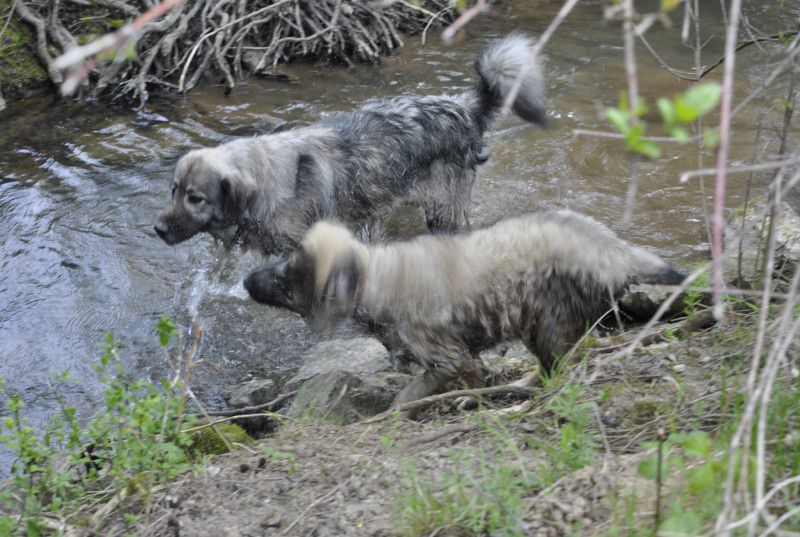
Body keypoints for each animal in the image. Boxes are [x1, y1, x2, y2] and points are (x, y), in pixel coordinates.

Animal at [153, 34, 548, 255]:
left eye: (195, 198)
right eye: (173, 191)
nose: (157, 230)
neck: (269, 182)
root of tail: (462, 107)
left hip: (443, 207)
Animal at [242, 211, 680, 404]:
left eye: (284, 283)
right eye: (279, 261)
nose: (244, 281)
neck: (376, 277)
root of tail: (615, 252)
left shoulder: (447, 358)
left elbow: (411, 395)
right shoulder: (466, 359)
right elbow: (475, 378)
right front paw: (475, 399)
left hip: (550, 321)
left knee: (562, 366)